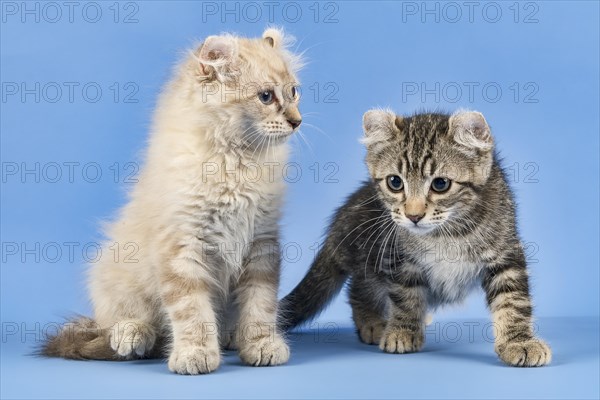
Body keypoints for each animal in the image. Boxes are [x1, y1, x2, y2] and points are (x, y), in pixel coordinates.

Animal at [41, 28, 302, 376]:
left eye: (294, 92)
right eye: (265, 97)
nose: (297, 121)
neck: (235, 161)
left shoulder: (262, 243)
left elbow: (260, 305)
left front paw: (261, 344)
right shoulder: (182, 246)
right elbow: (192, 311)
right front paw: (195, 354)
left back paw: (230, 336)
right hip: (114, 269)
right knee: (122, 319)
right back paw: (133, 335)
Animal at [282, 109, 552, 366]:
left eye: (440, 184)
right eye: (395, 182)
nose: (413, 215)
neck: (446, 233)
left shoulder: (505, 251)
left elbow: (513, 300)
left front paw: (519, 341)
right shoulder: (398, 255)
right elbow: (405, 295)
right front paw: (403, 330)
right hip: (370, 250)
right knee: (360, 285)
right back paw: (373, 322)